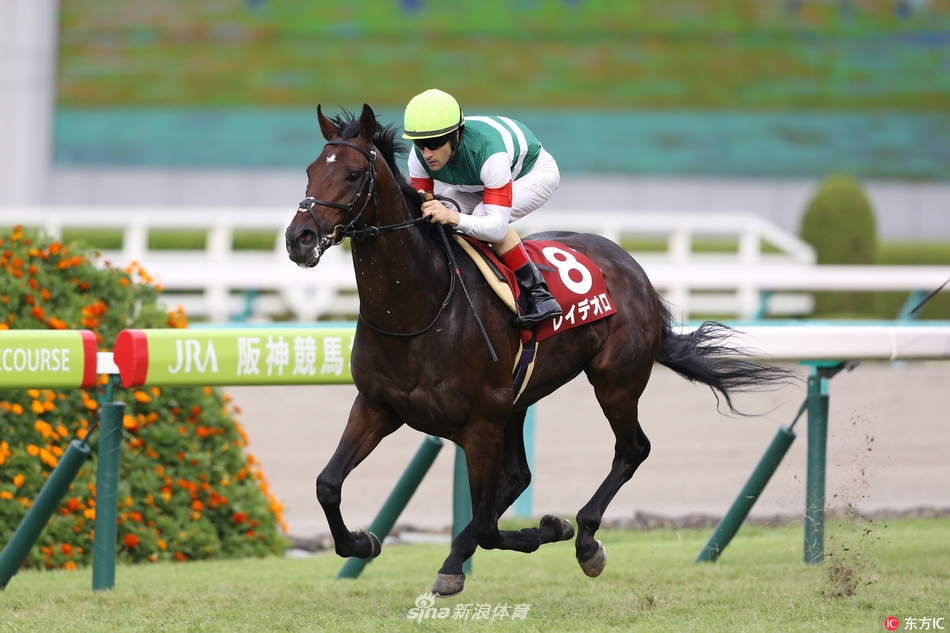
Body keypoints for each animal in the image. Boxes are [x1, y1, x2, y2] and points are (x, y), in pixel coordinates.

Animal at [284, 105, 788, 596]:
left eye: (352, 174)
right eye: (309, 171)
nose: (298, 238)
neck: (417, 310)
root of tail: (634, 268)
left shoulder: (480, 423)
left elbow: (488, 526)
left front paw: (550, 530)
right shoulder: (377, 406)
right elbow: (328, 484)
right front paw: (362, 542)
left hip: (614, 381)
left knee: (631, 450)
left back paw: (584, 538)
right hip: (520, 398)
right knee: (517, 478)